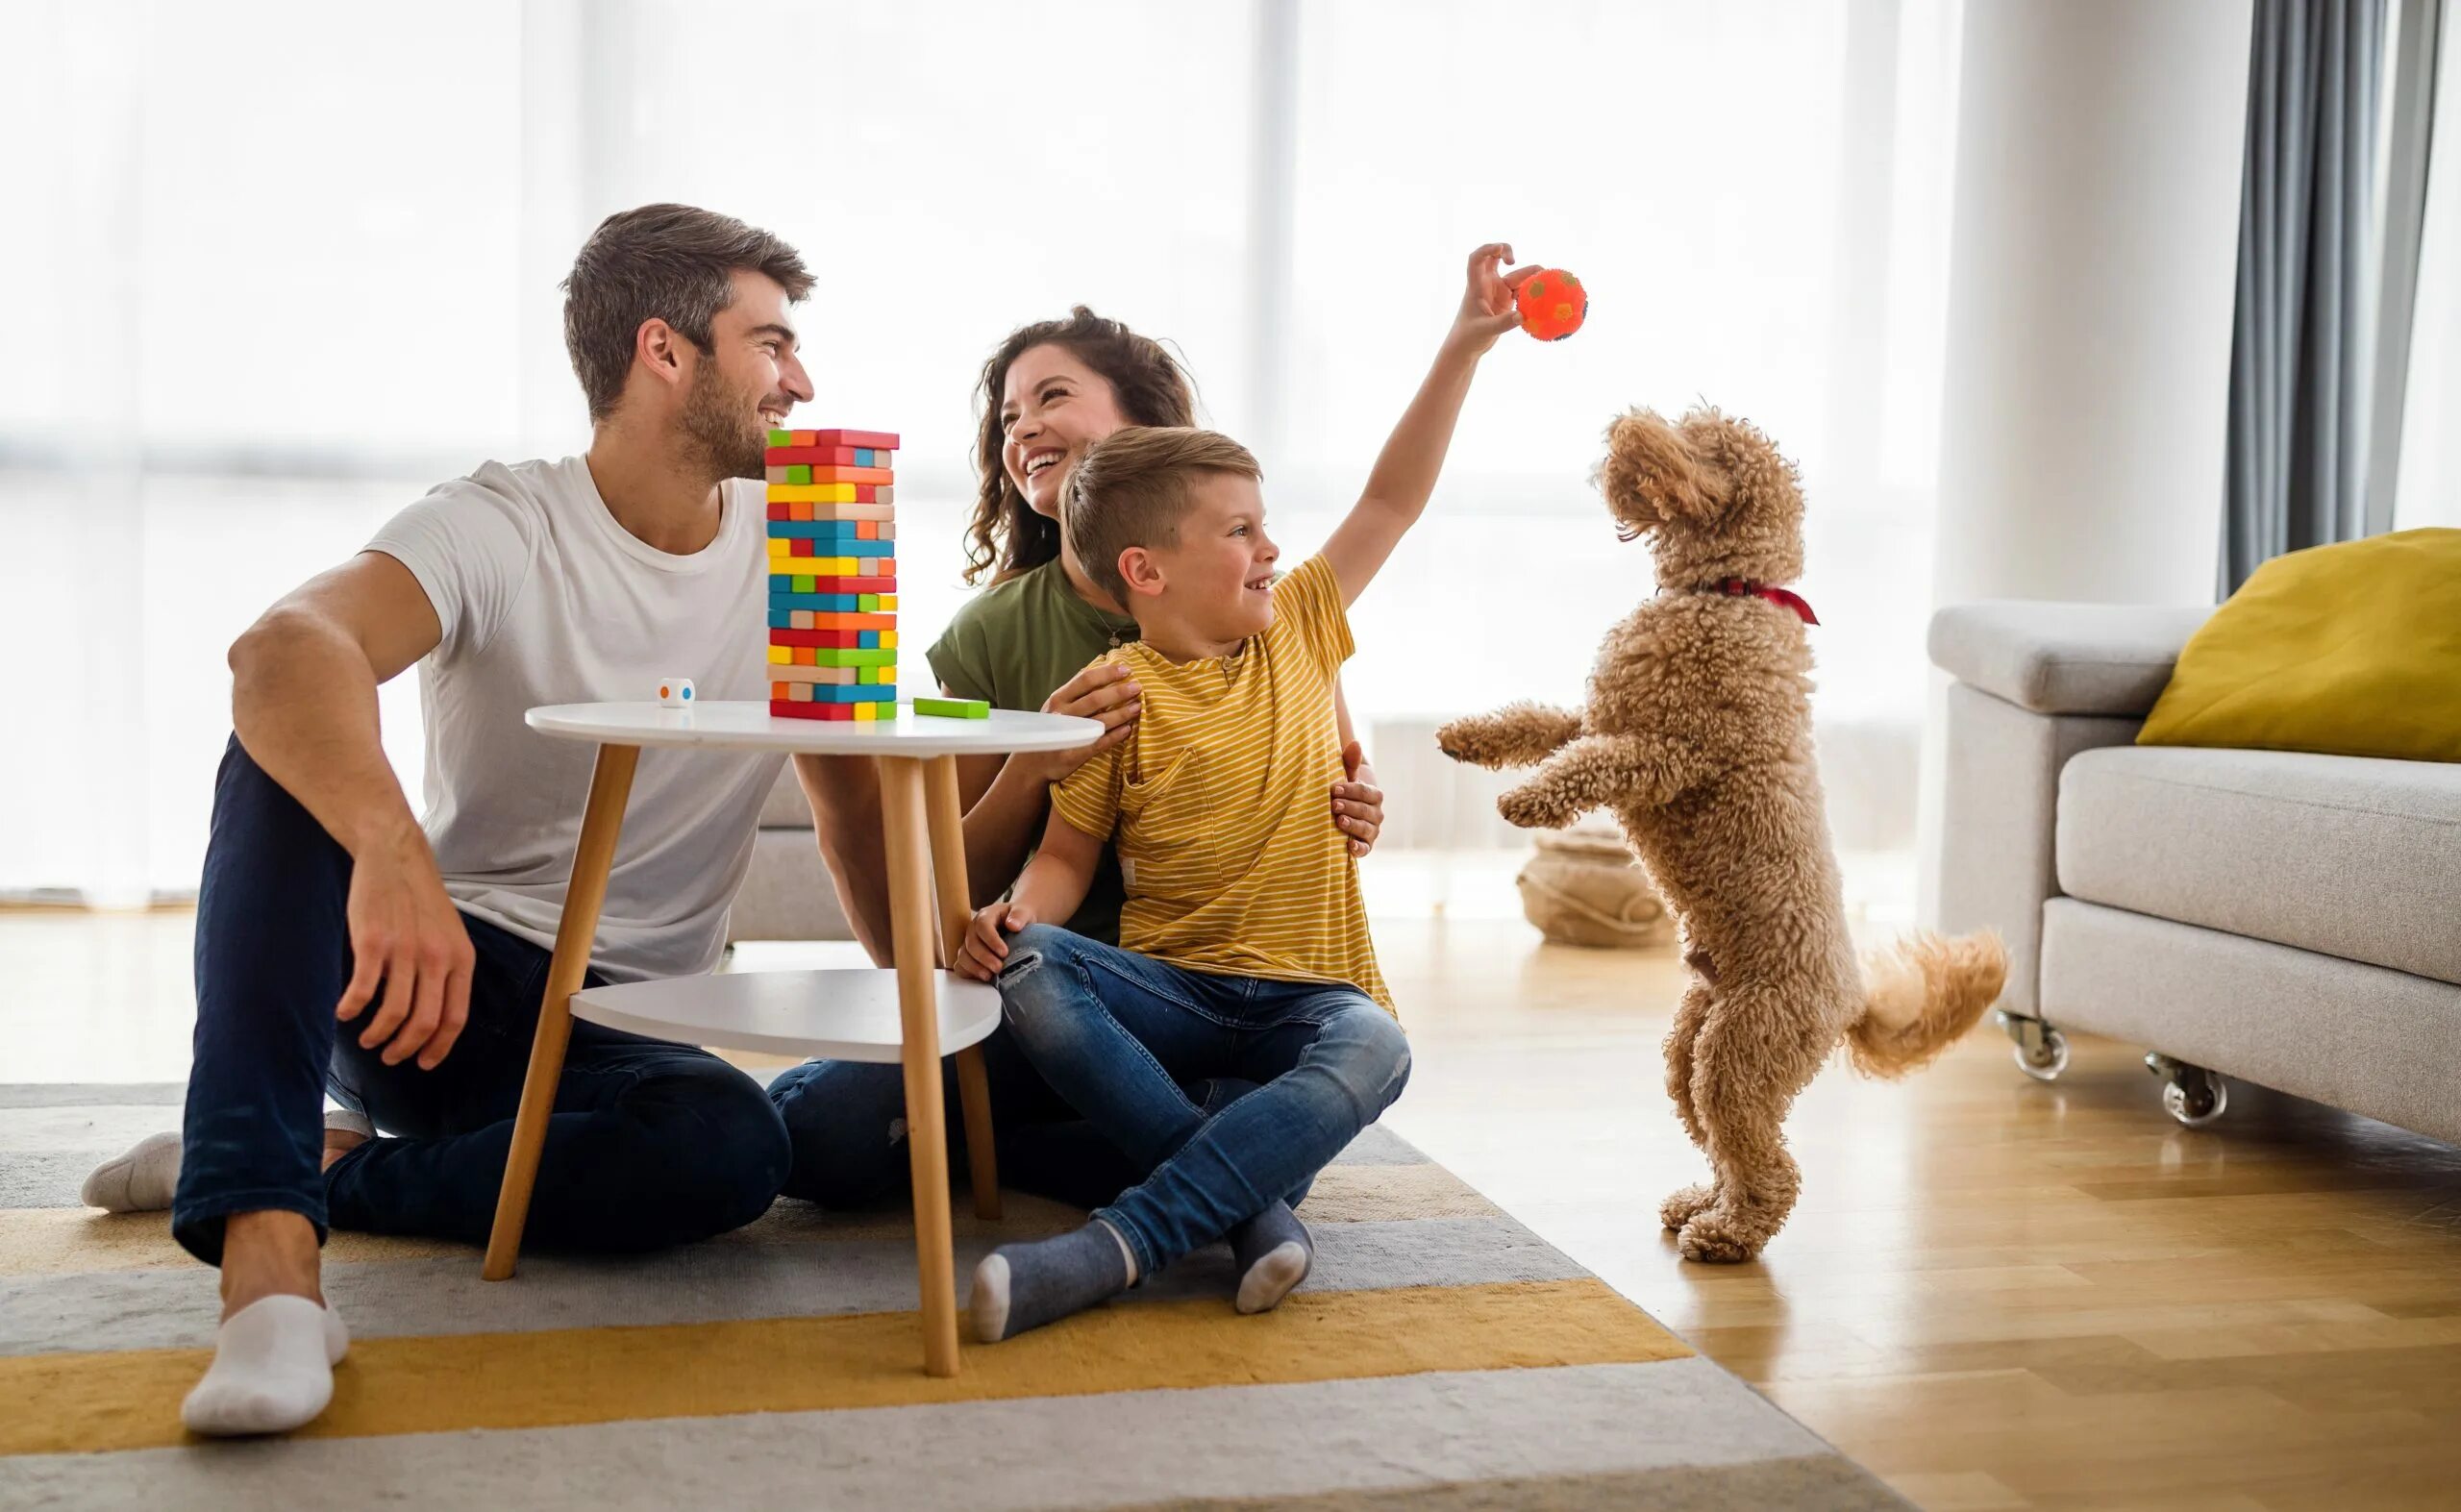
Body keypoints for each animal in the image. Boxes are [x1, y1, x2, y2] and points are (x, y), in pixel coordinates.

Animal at [1437, 406, 1998, 1270]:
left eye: (1707, 447)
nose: (1625, 420)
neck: (1727, 592)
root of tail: (1852, 995)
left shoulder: (1670, 752)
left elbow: (1591, 764)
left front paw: (1528, 798)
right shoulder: (1598, 713)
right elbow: (1539, 724)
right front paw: (1469, 737)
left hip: (1742, 1049)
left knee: (1772, 1165)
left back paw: (1728, 1233)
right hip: (1694, 1041)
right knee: (1719, 1139)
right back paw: (1701, 1201)